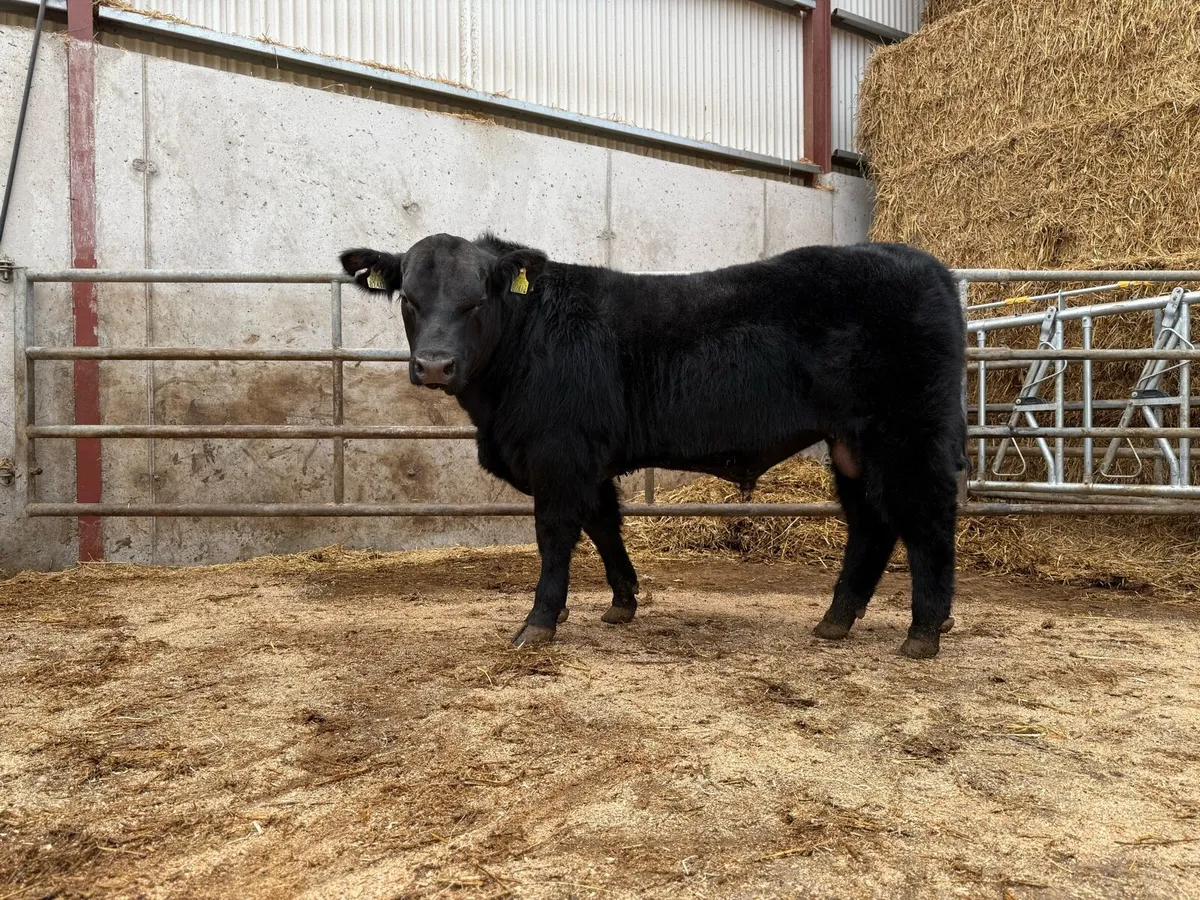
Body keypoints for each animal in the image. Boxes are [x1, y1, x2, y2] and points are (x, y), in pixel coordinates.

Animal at [340, 233, 966, 659]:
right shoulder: (589, 462)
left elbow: (555, 536)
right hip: (851, 444)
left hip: (908, 433)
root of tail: (925, 263)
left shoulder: (560, 453)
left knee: (926, 519)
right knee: (872, 523)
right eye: (409, 299)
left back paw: (923, 631)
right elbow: (604, 525)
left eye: (475, 302)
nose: (434, 365)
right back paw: (836, 619)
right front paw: (622, 603)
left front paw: (539, 622)